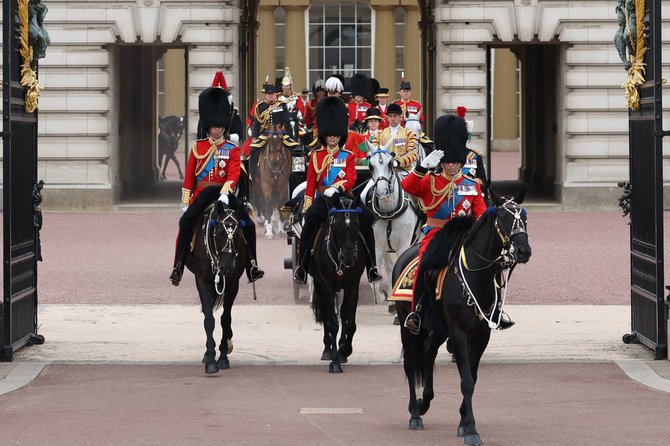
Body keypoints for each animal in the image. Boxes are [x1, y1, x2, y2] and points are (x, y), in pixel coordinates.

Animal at [308, 194, 368, 372]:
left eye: (357, 224)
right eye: (337, 225)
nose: (348, 257)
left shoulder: (353, 286)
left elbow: (349, 323)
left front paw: (344, 350)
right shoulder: (327, 285)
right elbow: (333, 323)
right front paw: (334, 362)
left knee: (341, 313)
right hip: (320, 284)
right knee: (327, 314)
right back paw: (328, 349)